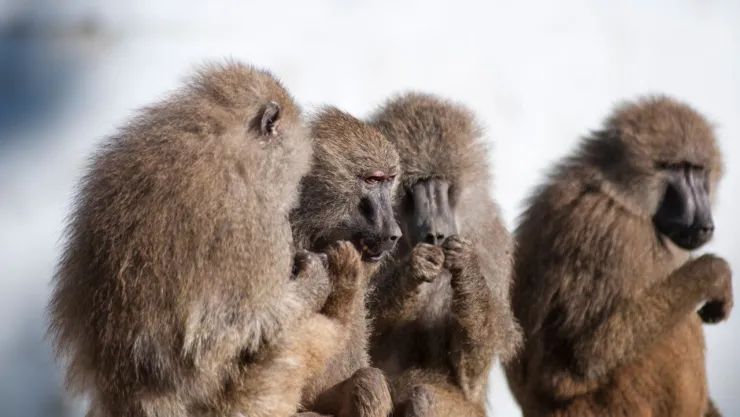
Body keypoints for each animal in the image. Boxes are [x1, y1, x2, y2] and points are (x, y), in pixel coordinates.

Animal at [364, 92, 523, 417]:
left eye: (444, 186)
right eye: (414, 188)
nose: (436, 233)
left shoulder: (490, 242)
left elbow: (471, 372)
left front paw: (467, 269)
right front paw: (415, 268)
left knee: (425, 395)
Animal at [504, 95, 733, 416]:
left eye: (697, 170)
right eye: (675, 168)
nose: (704, 224)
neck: (620, 194)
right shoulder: (611, 234)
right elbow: (594, 352)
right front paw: (715, 275)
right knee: (673, 328)